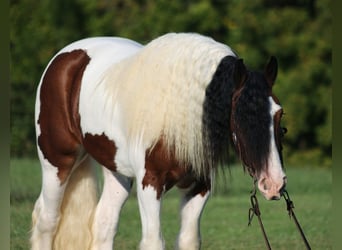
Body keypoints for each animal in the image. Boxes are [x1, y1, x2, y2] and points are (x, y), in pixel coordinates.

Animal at [30, 32, 288, 250]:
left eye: (279, 114)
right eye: (240, 116)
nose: (275, 184)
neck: (179, 116)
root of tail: (67, 57)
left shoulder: (199, 186)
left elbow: (188, 240)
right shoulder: (150, 184)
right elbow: (154, 241)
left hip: (117, 172)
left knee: (104, 223)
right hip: (57, 162)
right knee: (47, 220)